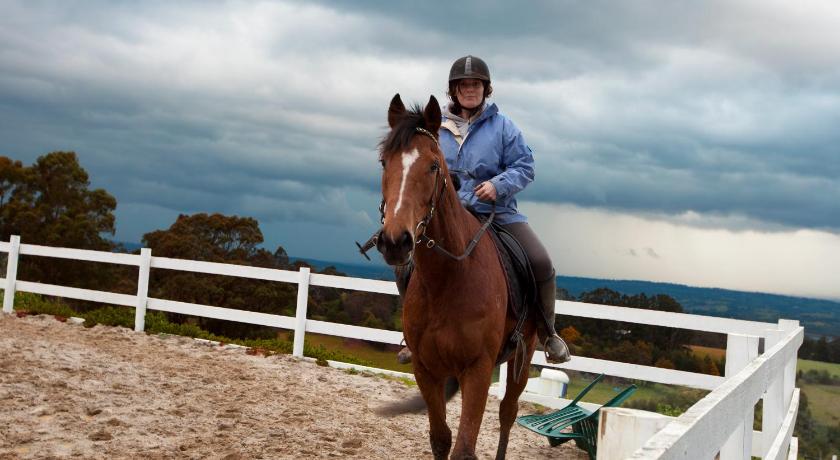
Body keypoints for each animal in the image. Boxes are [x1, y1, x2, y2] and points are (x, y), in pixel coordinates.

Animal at [376, 94, 540, 460]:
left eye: (433, 166)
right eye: (384, 163)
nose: (395, 242)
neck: (448, 280)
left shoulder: (478, 370)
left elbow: (464, 448)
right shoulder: (426, 370)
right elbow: (441, 438)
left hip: (522, 360)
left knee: (507, 414)